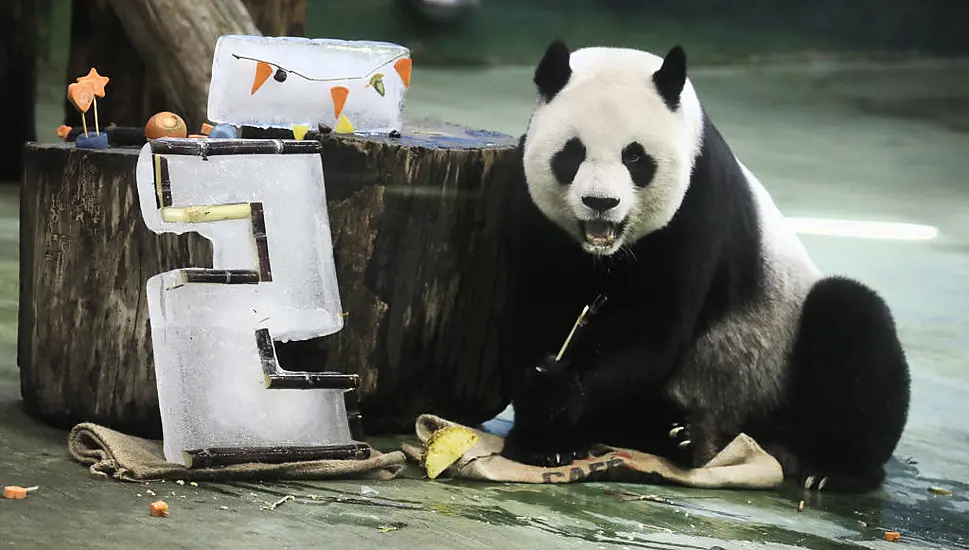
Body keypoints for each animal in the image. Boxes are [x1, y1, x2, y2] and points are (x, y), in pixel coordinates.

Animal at [496, 40, 912, 496]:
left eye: (635, 157)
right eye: (572, 153)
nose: (600, 202)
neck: (604, 253)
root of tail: (764, 437)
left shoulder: (696, 202)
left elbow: (653, 321)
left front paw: (556, 400)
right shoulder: (533, 213)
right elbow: (539, 308)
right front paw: (542, 436)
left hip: (775, 358)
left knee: (853, 320)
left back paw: (830, 468)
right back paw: (679, 436)